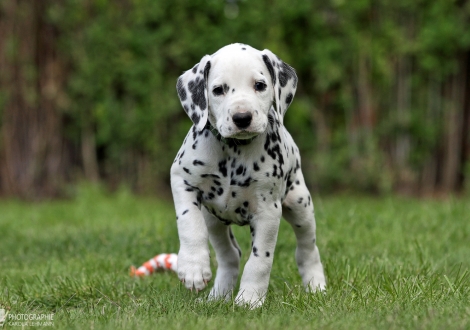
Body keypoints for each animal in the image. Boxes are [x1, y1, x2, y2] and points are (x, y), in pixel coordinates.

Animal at [171, 43, 324, 306]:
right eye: (218, 90)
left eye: (260, 85)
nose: (242, 118)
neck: (233, 152)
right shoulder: (182, 179)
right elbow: (189, 223)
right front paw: (193, 267)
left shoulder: (268, 212)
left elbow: (259, 261)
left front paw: (250, 299)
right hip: (213, 221)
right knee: (230, 254)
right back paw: (218, 296)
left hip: (300, 204)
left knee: (307, 249)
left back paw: (316, 286)